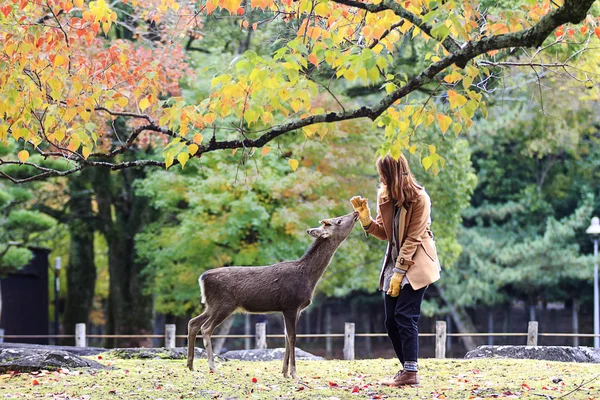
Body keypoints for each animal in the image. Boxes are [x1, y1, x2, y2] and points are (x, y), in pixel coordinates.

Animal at [185, 212, 358, 378]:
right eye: (338, 221)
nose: (355, 213)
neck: (308, 277)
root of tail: (202, 278)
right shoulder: (290, 304)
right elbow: (292, 337)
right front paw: (294, 373)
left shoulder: (296, 309)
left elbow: (286, 337)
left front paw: (284, 372)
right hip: (224, 304)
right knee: (206, 328)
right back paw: (212, 367)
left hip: (211, 305)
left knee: (193, 322)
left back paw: (190, 365)